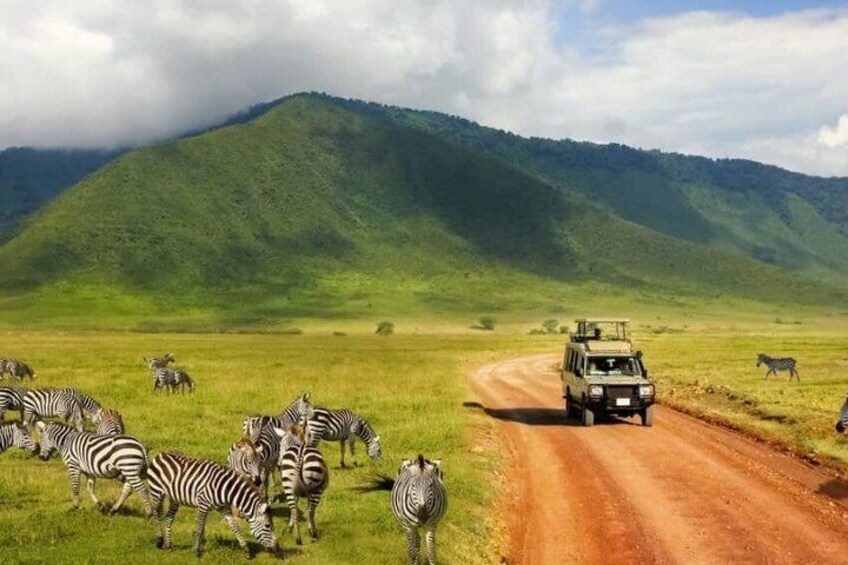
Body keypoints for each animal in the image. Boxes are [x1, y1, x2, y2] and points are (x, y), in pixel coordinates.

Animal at [146, 451, 280, 557]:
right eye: (268, 526)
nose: (277, 548)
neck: (226, 490)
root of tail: (161, 454)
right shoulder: (203, 505)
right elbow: (199, 529)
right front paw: (196, 551)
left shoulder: (223, 507)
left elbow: (235, 526)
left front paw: (246, 550)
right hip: (156, 491)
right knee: (155, 514)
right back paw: (159, 541)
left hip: (175, 498)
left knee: (169, 517)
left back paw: (168, 545)